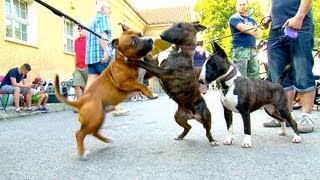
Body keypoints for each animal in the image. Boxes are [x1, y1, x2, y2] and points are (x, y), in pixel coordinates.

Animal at [54, 23, 156, 159]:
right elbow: (140, 85)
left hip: (99, 117)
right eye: (133, 42)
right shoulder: (124, 84)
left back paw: (107, 140)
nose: (149, 39)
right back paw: (82, 152)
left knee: (94, 132)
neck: (126, 60)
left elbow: (145, 80)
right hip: (94, 118)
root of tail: (80, 102)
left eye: (141, 34)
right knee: (79, 134)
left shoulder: (147, 75)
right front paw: (149, 93)